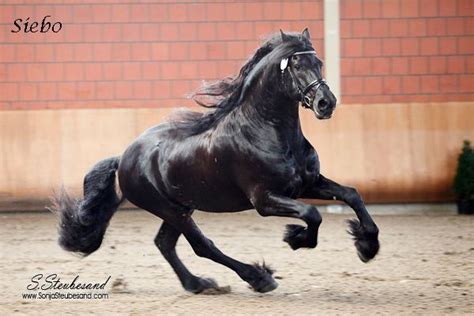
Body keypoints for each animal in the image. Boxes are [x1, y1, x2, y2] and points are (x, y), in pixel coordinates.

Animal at [51, 29, 378, 294]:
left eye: (319, 62)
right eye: (296, 65)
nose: (326, 103)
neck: (266, 131)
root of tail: (123, 159)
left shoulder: (308, 184)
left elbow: (351, 195)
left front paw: (367, 246)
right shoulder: (265, 200)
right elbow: (312, 214)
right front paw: (296, 238)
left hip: (182, 206)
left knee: (165, 243)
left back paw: (197, 284)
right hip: (171, 209)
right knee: (201, 245)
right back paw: (258, 278)